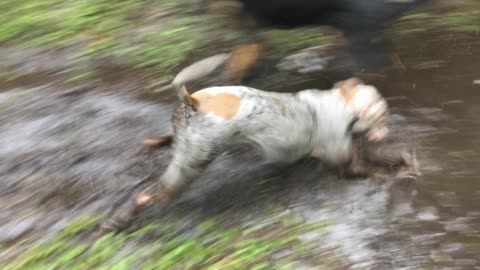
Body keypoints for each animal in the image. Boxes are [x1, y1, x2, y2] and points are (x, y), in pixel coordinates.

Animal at [95, 55, 400, 234]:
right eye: (383, 115)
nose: (388, 130)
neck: (343, 106)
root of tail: (193, 101)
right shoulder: (342, 158)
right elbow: (365, 167)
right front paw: (391, 169)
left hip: (183, 139)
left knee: (165, 141)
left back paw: (152, 144)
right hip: (191, 164)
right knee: (151, 194)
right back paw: (118, 220)